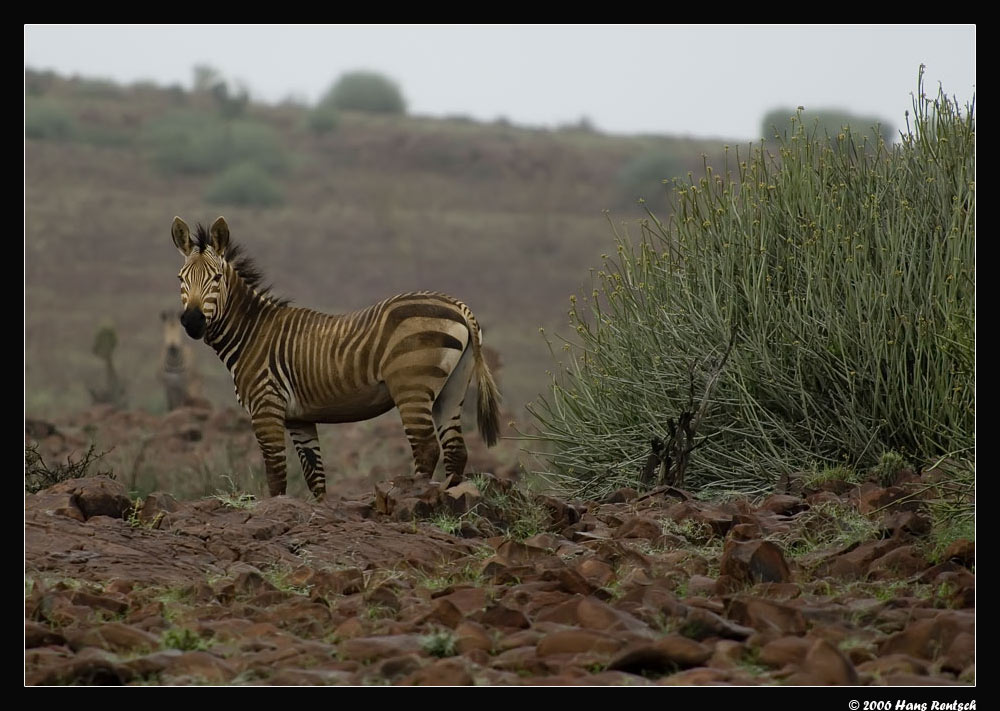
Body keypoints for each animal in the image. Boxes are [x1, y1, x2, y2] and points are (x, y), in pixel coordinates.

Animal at [170, 216, 501, 501]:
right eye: (180, 278)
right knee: (456, 451)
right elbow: (315, 476)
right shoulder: (299, 418)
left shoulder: (266, 407)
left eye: (216, 278)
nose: (192, 321)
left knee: (427, 447)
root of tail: (459, 306)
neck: (252, 332)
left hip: (412, 387)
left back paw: (414, 495)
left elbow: (276, 476)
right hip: (452, 388)